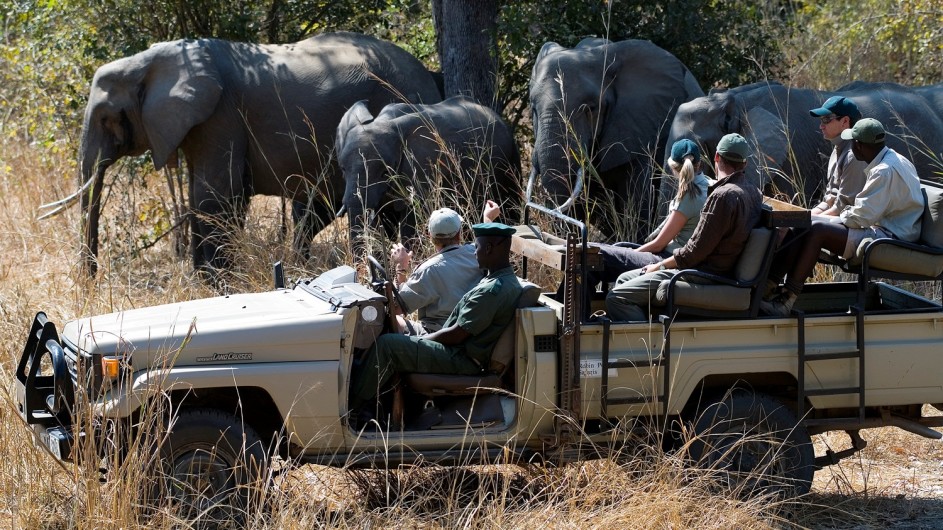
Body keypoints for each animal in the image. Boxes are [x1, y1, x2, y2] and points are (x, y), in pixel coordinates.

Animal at [53, 32, 444, 276]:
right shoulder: (200, 123)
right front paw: (205, 282)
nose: (90, 282)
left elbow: (214, 195)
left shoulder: (221, 115)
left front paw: (216, 284)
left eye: (107, 117)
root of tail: (429, 75)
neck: (145, 60)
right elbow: (205, 196)